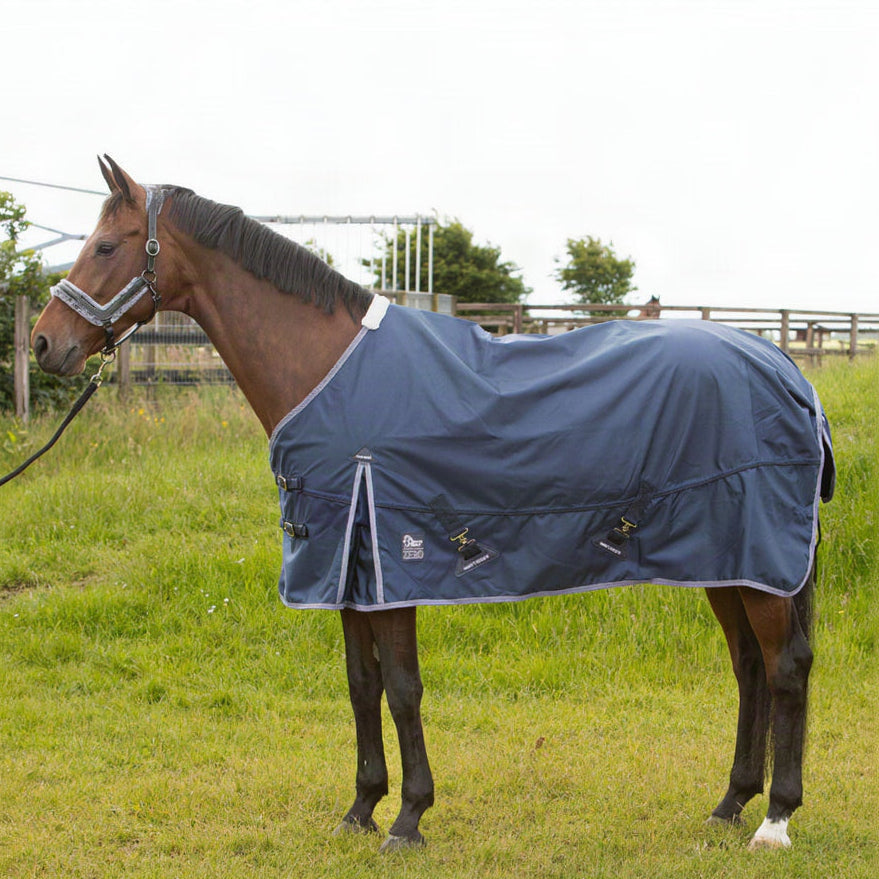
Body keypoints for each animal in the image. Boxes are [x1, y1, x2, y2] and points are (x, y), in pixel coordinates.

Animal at [31, 156, 834, 853]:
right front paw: (359, 808)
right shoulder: (347, 562)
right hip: (728, 559)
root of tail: (784, 367)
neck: (329, 366)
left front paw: (409, 817)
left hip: (756, 558)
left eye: (106, 245)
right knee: (749, 667)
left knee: (786, 664)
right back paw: (729, 803)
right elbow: (361, 687)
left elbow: (403, 689)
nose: (43, 344)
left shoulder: (392, 558)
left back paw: (775, 819)